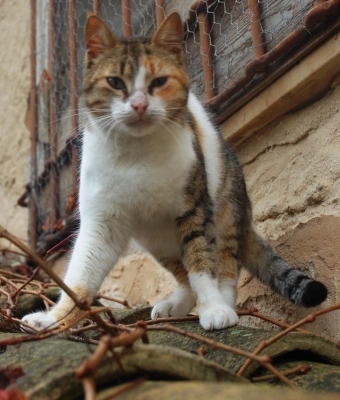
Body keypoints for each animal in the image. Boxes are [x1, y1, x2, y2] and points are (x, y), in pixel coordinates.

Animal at [21, 11, 326, 332]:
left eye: (159, 81)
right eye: (115, 82)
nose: (139, 105)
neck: (136, 155)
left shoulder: (196, 209)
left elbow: (202, 263)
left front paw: (214, 308)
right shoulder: (102, 221)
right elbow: (80, 274)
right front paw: (52, 319)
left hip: (225, 212)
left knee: (224, 265)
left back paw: (224, 305)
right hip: (157, 238)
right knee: (183, 271)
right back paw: (176, 305)